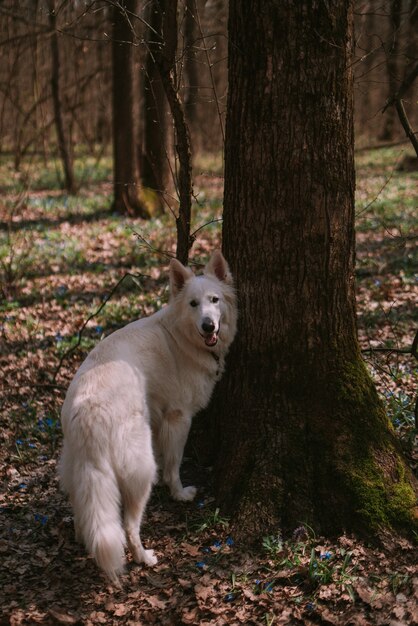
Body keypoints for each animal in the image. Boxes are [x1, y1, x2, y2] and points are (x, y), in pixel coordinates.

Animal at [57, 249, 237, 580]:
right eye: (193, 304)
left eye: (214, 300)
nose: (208, 326)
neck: (181, 335)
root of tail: (88, 409)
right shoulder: (179, 418)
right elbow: (174, 465)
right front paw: (179, 493)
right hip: (141, 467)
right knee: (128, 525)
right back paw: (143, 557)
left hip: (79, 468)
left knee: (83, 511)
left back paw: (82, 537)